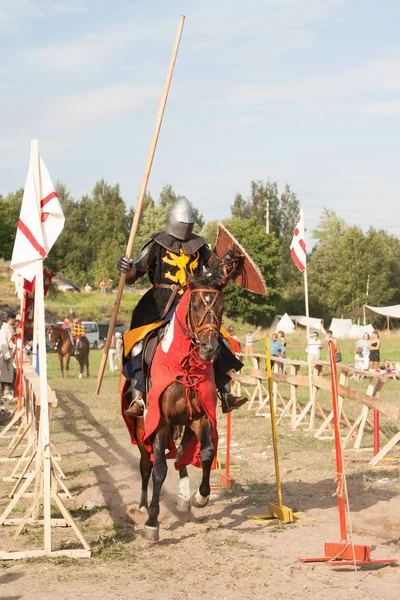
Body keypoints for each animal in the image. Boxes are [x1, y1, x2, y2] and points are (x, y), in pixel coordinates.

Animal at [132, 272, 228, 540]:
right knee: (146, 464)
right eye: (194, 307)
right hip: (141, 427)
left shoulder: (201, 418)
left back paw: (184, 497)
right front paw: (152, 521)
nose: (210, 349)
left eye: (221, 307)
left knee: (181, 455)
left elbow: (205, 453)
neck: (183, 366)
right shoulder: (159, 422)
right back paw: (142, 506)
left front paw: (200, 497)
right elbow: (159, 469)